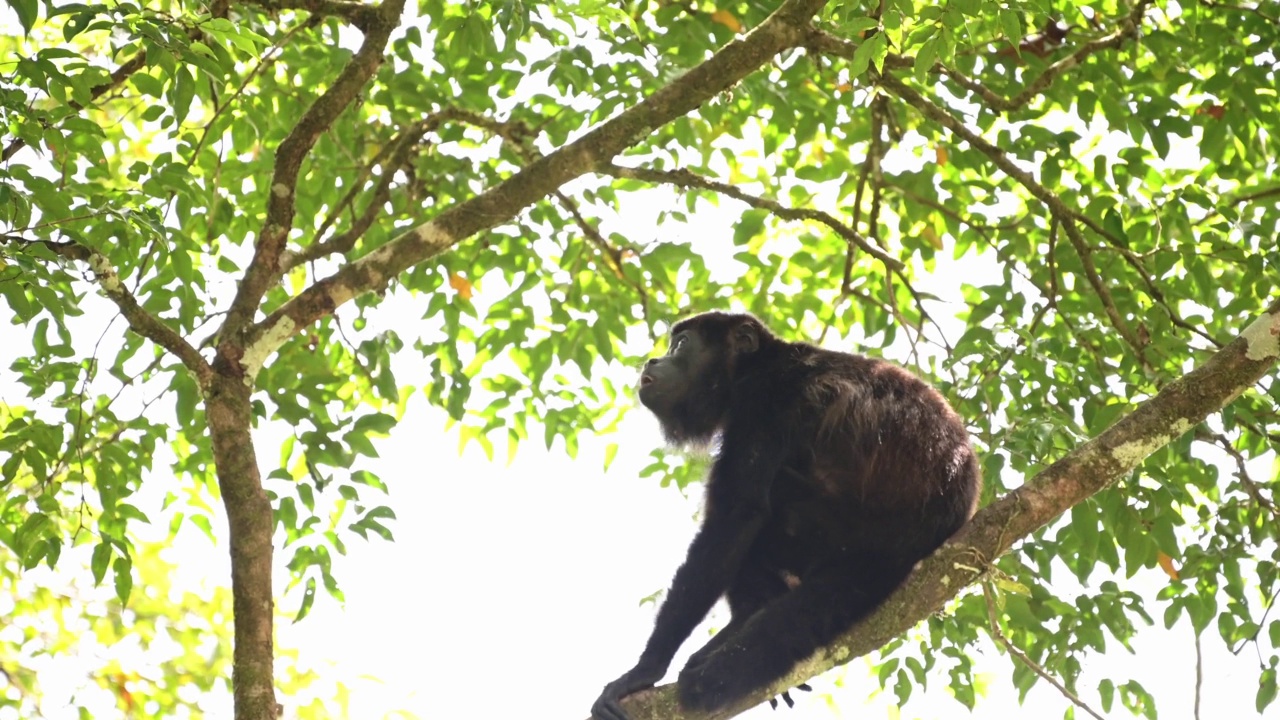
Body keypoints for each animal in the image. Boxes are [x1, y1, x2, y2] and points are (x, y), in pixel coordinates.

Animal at [588, 310, 977, 717]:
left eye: (681, 344)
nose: (653, 361)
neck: (751, 368)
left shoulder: (764, 401)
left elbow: (736, 516)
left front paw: (645, 670)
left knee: (770, 500)